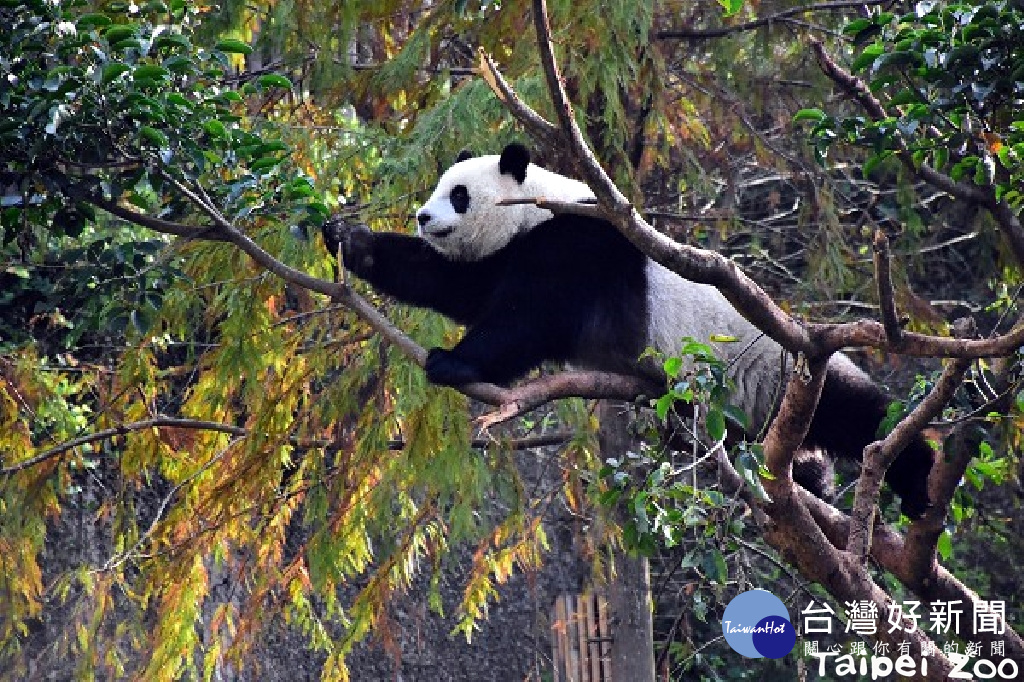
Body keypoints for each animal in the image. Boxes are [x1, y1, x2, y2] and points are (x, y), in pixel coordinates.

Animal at [329, 143, 937, 516]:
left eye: (458, 195)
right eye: (438, 189)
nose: (423, 217)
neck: (537, 207)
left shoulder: (575, 247)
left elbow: (525, 319)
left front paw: (451, 361)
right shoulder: (508, 253)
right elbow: (454, 283)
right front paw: (351, 241)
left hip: (778, 370)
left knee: (859, 414)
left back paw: (917, 482)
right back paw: (813, 484)